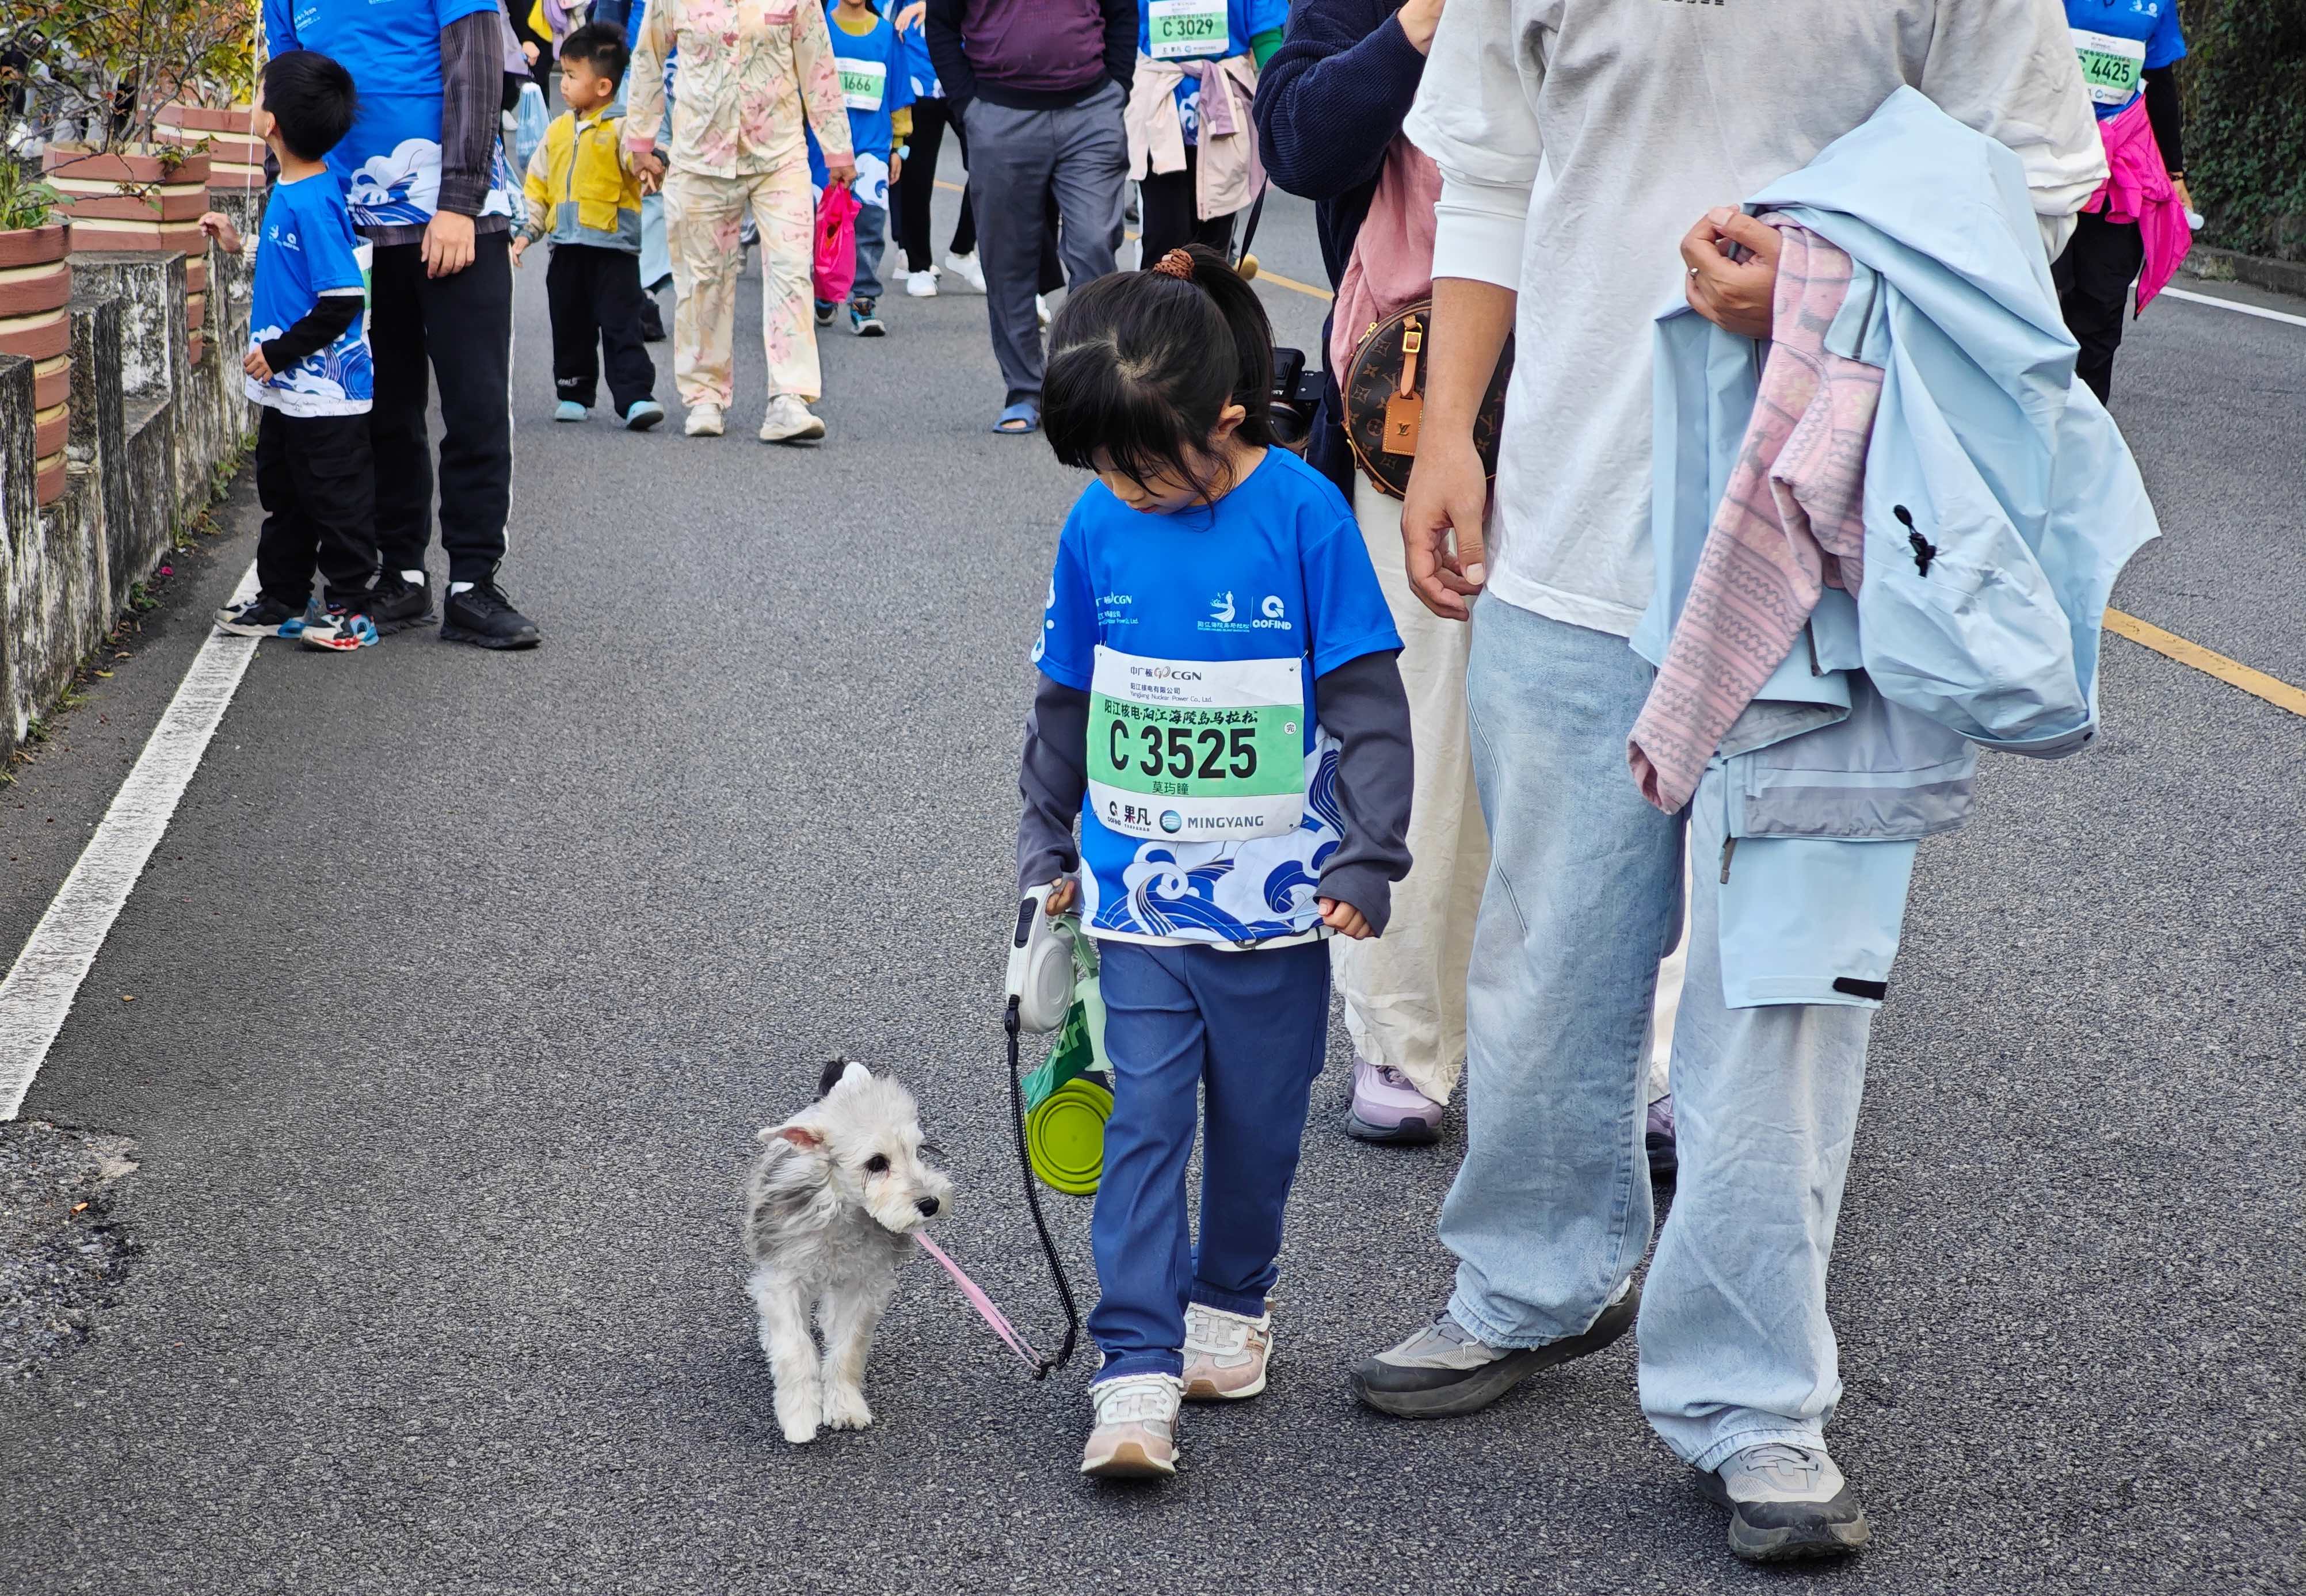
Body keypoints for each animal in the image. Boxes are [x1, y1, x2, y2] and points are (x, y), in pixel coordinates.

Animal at [742, 1060, 950, 1448]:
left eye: (919, 1152)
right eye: (877, 1163)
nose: (930, 1203)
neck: (844, 1211)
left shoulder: (863, 1286)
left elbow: (848, 1348)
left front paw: (844, 1405)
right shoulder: (784, 1282)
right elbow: (794, 1348)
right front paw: (799, 1413)